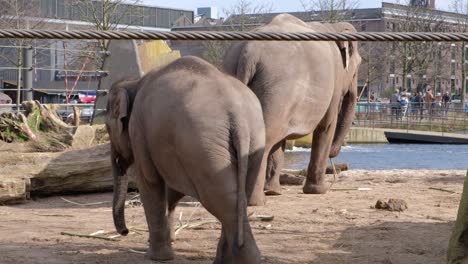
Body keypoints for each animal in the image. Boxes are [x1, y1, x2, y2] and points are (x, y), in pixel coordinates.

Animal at [107, 56, 266, 264]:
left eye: (107, 129)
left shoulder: (139, 132)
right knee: (238, 196)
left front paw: (156, 258)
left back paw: (243, 259)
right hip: (253, 140)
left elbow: (150, 182)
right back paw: (228, 259)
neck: (134, 82)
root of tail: (237, 115)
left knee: (220, 199)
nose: (125, 231)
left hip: (203, 145)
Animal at [223, 13, 362, 205]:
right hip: (276, 92)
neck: (332, 26)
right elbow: (326, 126)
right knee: (264, 140)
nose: (334, 156)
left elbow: (281, 141)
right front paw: (319, 191)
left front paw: (274, 191)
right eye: (358, 66)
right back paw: (256, 201)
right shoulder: (333, 84)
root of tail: (247, 53)